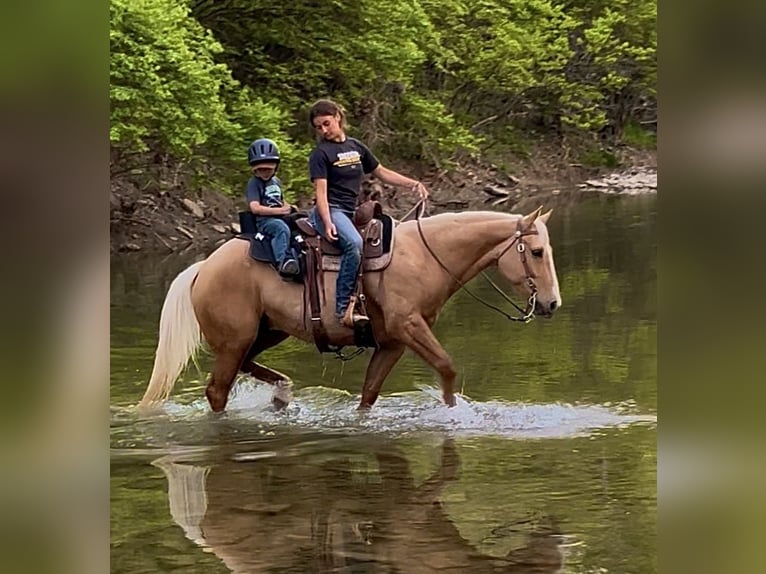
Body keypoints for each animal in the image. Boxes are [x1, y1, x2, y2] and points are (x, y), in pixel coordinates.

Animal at [139, 206, 562, 411]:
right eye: (536, 252)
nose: (552, 303)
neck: (425, 256)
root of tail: (203, 267)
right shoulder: (409, 327)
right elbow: (446, 367)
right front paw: (451, 414)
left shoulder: (392, 343)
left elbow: (369, 394)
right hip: (233, 341)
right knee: (217, 391)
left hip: (265, 332)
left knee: (244, 368)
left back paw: (282, 393)